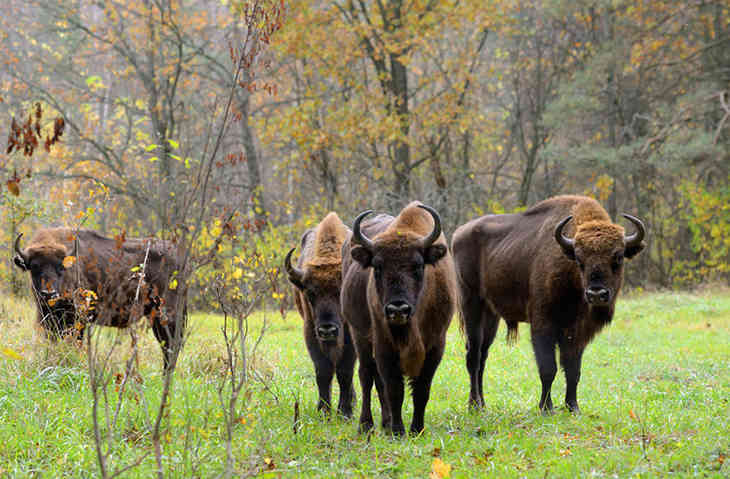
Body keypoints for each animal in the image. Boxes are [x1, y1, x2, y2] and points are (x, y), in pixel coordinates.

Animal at [13, 229, 185, 372]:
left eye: (60, 268)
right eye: (34, 267)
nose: (49, 294)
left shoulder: (78, 319)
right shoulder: (49, 320)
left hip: (166, 315)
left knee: (171, 346)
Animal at [282, 212, 356, 418]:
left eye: (341, 292)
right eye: (310, 294)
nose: (327, 330)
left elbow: (345, 371)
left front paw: (345, 412)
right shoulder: (311, 331)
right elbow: (323, 371)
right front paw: (323, 411)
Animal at [342, 201, 456, 436]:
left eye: (419, 265)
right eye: (377, 267)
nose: (398, 309)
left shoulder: (436, 345)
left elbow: (421, 389)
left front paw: (417, 429)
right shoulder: (384, 344)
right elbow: (394, 388)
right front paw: (398, 431)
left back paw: (385, 424)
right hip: (359, 335)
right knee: (367, 376)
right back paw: (366, 425)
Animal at [452, 195, 644, 412]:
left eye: (618, 256)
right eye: (579, 258)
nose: (596, 294)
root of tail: (459, 233)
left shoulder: (577, 332)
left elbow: (573, 370)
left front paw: (572, 407)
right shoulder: (543, 325)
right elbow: (548, 369)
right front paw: (546, 408)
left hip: (491, 315)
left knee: (483, 356)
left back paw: (483, 405)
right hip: (471, 305)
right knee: (473, 356)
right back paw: (474, 405)